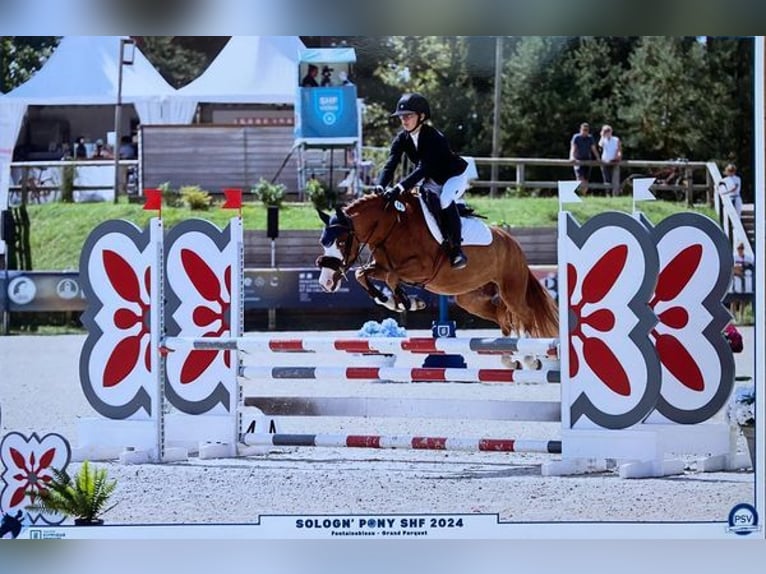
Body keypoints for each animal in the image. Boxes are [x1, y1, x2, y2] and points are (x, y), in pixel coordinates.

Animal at [316, 191, 560, 340]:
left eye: (341, 242)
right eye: (323, 242)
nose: (325, 282)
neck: (392, 226)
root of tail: (513, 243)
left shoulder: (422, 268)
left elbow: (392, 278)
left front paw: (407, 302)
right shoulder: (382, 266)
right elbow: (361, 274)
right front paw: (389, 300)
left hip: (511, 289)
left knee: (525, 313)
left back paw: (530, 355)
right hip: (469, 298)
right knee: (501, 315)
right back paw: (512, 358)